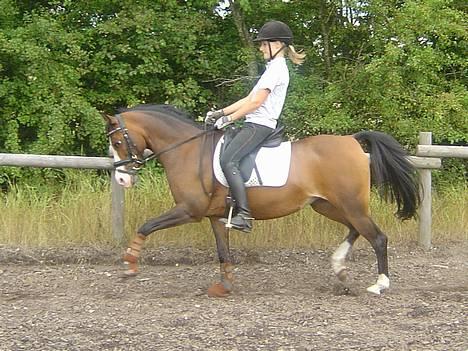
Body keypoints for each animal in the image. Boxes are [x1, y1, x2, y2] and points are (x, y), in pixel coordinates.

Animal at [103, 104, 420, 296]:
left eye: (117, 142)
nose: (122, 180)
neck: (187, 151)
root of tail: (351, 140)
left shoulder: (189, 210)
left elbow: (146, 225)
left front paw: (130, 262)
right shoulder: (215, 216)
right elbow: (223, 252)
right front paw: (225, 285)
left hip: (349, 204)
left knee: (377, 237)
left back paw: (379, 285)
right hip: (327, 204)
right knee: (356, 229)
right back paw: (339, 267)